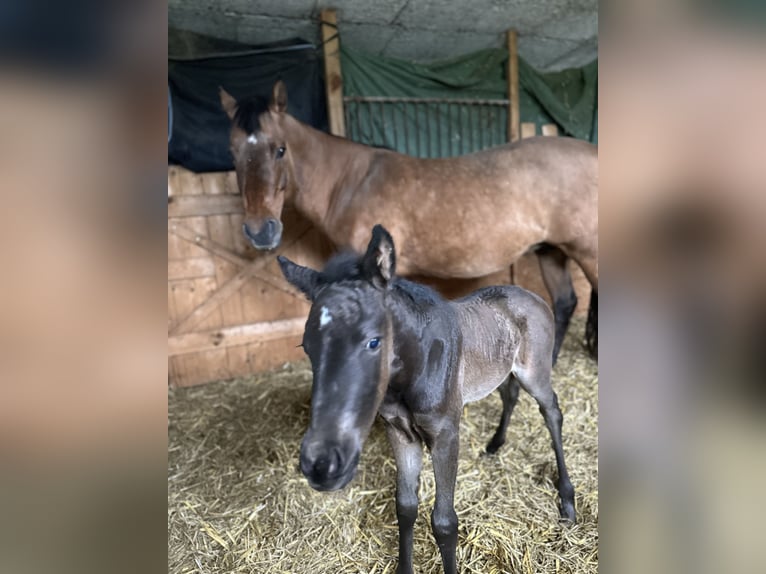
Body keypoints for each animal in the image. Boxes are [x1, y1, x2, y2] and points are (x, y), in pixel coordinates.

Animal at [220, 81, 598, 362]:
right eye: (233, 152)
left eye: (280, 149)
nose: (260, 230)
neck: (353, 182)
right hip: (550, 250)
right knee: (565, 303)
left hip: (585, 251)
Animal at [278, 224, 576, 574]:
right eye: (307, 346)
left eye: (373, 341)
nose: (322, 464)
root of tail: (534, 296)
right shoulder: (400, 433)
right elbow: (405, 507)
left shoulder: (445, 436)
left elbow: (444, 522)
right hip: (501, 369)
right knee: (509, 393)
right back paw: (494, 444)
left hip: (535, 372)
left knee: (551, 411)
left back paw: (567, 501)